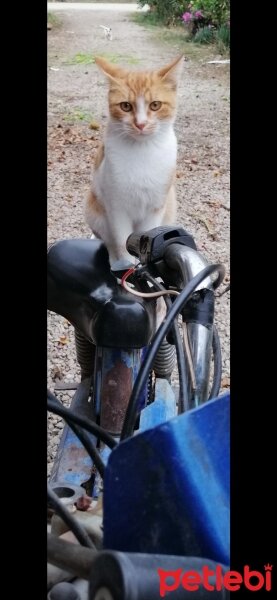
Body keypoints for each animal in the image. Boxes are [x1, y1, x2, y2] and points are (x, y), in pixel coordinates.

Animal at [85, 55, 182, 270]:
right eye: (125, 106)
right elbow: (121, 241)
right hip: (94, 210)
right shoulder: (116, 208)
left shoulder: (155, 207)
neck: (142, 151)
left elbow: (148, 239)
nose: (140, 124)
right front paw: (125, 265)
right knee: (108, 241)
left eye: (155, 105)